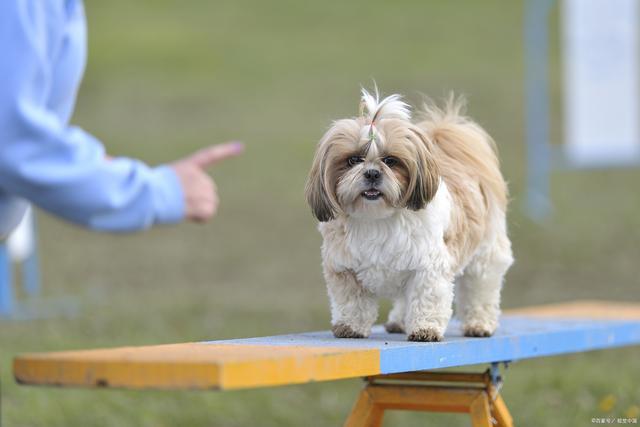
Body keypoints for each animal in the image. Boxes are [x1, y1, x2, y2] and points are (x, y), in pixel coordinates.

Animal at [304, 88, 516, 342]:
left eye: (390, 161)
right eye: (353, 160)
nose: (372, 173)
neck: (377, 218)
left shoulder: (428, 267)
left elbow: (427, 299)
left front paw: (425, 329)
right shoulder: (344, 268)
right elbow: (352, 302)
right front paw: (350, 327)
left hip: (485, 255)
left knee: (480, 289)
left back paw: (479, 324)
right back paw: (399, 321)